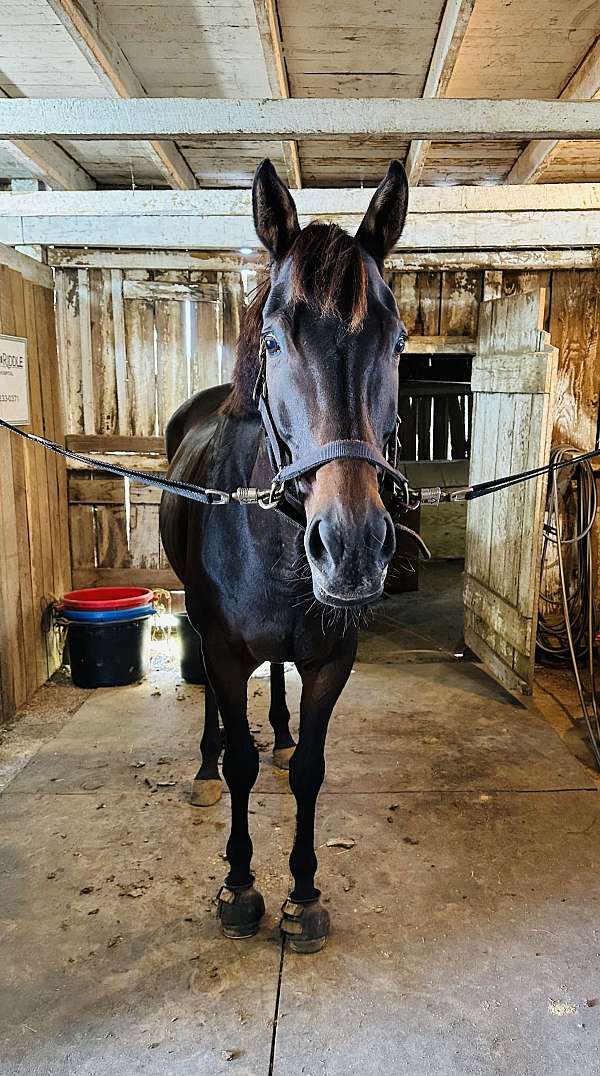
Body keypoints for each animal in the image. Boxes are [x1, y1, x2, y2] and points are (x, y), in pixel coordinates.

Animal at [160, 157, 409, 952]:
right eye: (272, 341)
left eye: (397, 343)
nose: (353, 547)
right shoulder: (226, 649)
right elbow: (241, 763)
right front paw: (240, 887)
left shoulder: (332, 660)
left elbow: (309, 771)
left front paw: (302, 894)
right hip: (201, 628)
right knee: (215, 705)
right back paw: (204, 767)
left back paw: (277, 731)